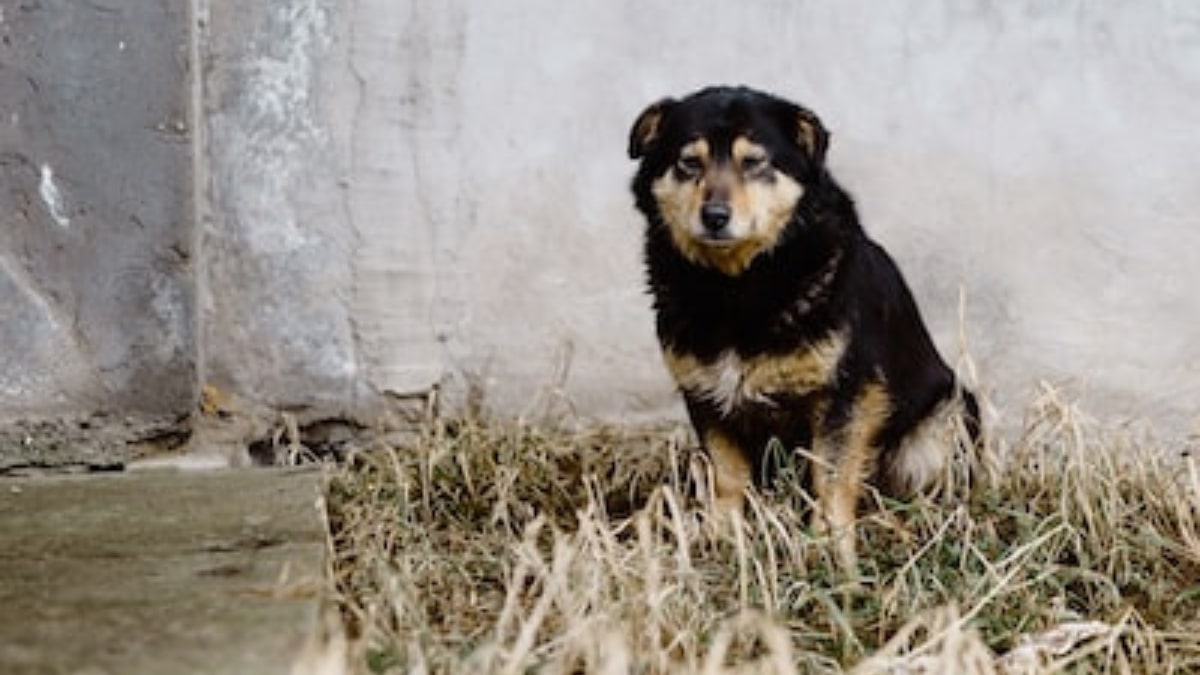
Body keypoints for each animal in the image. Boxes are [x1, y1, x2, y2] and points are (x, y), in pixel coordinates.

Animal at [624, 85, 979, 566]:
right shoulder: (705, 394)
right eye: (689, 162)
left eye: (754, 162)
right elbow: (727, 476)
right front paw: (722, 539)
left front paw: (830, 551)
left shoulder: (846, 395)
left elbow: (830, 478)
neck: (737, 285)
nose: (714, 216)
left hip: (948, 418)